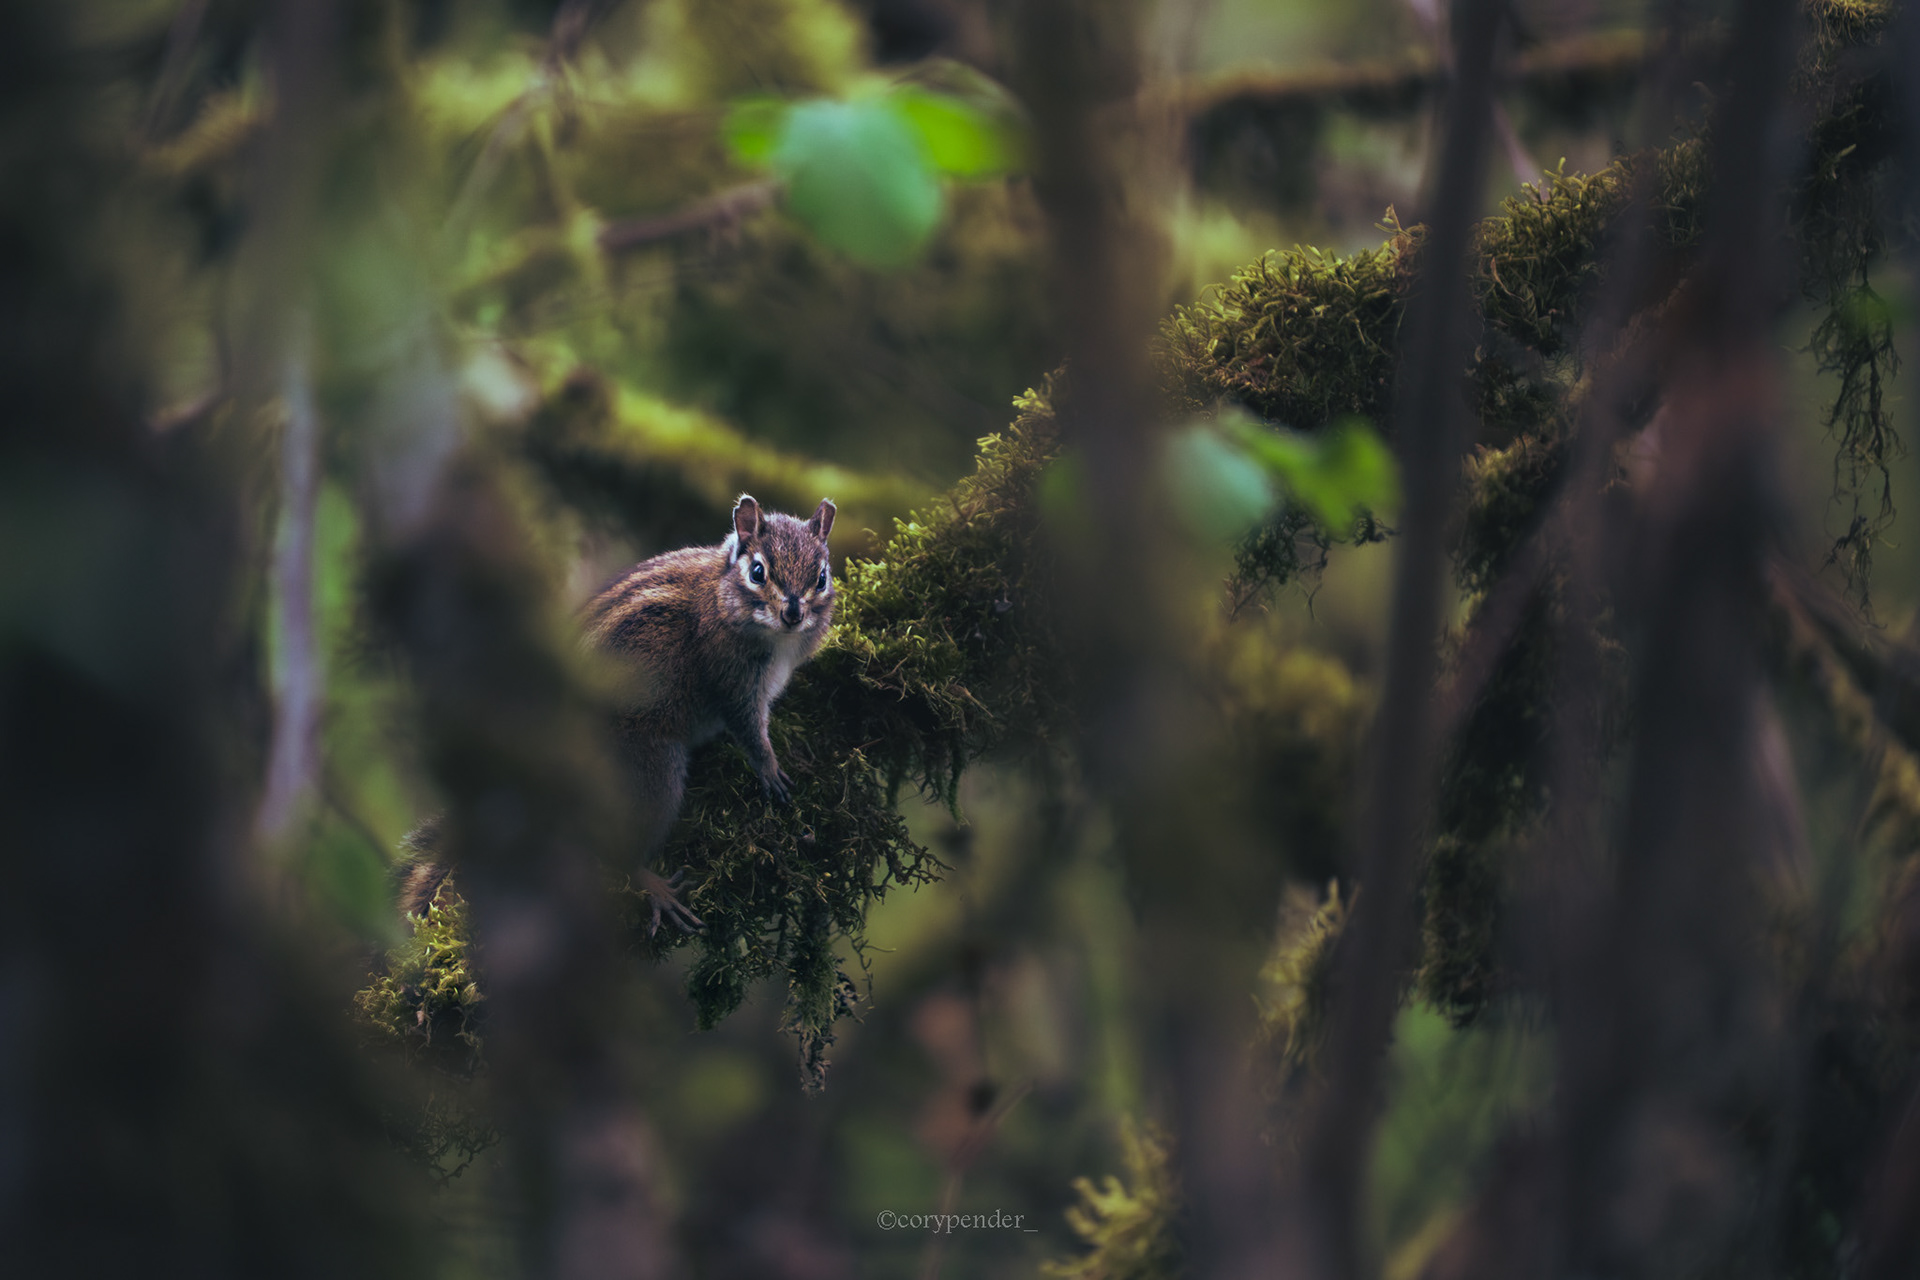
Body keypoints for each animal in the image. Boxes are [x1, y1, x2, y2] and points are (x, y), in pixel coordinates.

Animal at [399, 494, 837, 935]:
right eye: (758, 571)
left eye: (821, 578)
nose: (793, 614)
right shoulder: (729, 674)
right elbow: (747, 726)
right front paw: (769, 766)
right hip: (649, 770)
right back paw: (653, 887)